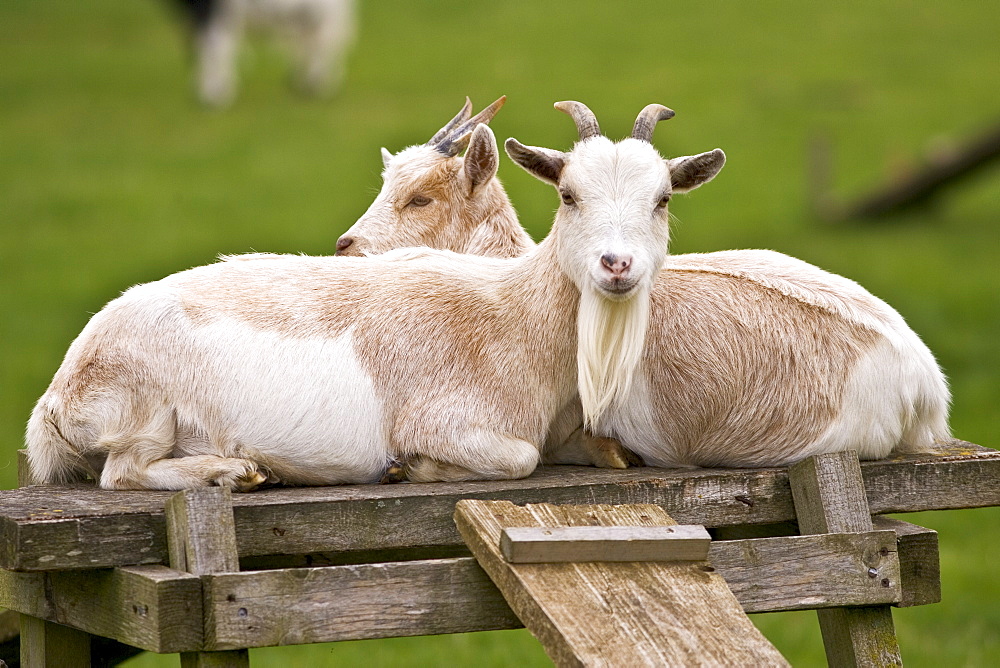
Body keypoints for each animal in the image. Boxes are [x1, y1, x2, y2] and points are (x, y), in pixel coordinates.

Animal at [27, 102, 716, 488]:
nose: (616, 264)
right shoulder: (449, 420)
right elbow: (519, 460)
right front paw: (409, 467)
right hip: (144, 412)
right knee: (122, 473)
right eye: (568, 195)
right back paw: (235, 470)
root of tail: (56, 400)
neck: (514, 314)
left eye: (662, 199)